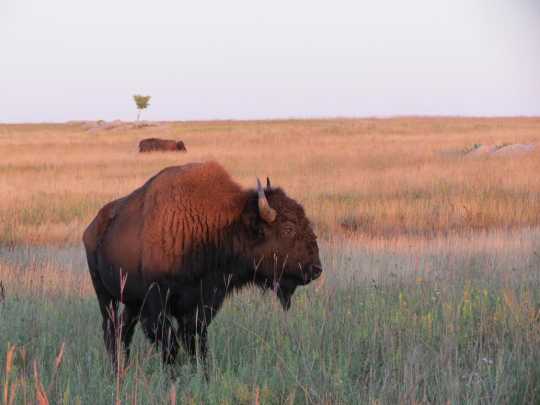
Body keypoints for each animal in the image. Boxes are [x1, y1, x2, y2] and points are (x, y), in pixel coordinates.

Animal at [82, 160, 322, 372]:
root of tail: (92, 227)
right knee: (111, 331)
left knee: (123, 332)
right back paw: (116, 370)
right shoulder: (156, 305)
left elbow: (197, 344)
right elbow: (171, 346)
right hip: (105, 296)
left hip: (131, 302)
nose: (316, 269)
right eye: (288, 228)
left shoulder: (203, 303)